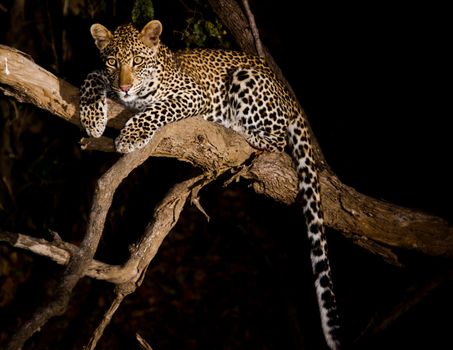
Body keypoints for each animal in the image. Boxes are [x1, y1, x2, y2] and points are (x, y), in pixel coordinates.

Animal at [79, 19, 340, 350]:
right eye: (113, 62)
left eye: (137, 61)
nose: (124, 86)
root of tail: (291, 97)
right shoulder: (105, 77)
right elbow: (91, 75)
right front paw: (91, 116)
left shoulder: (193, 95)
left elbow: (156, 110)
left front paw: (131, 135)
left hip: (246, 81)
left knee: (277, 140)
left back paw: (239, 128)